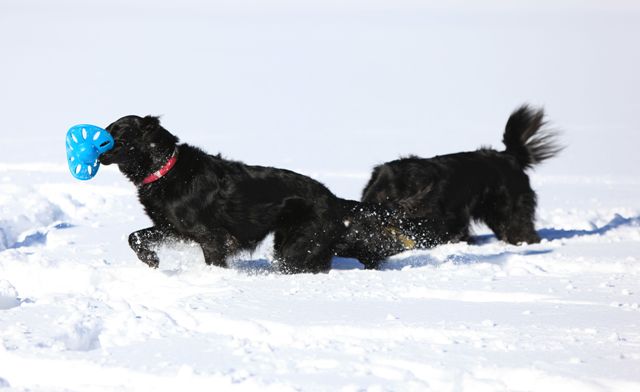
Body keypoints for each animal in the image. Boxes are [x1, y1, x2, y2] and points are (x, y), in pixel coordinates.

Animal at [98, 115, 412, 272]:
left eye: (116, 134)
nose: (97, 152)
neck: (166, 170)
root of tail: (334, 200)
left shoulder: (210, 235)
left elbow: (214, 260)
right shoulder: (173, 228)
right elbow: (135, 236)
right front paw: (151, 260)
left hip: (297, 246)